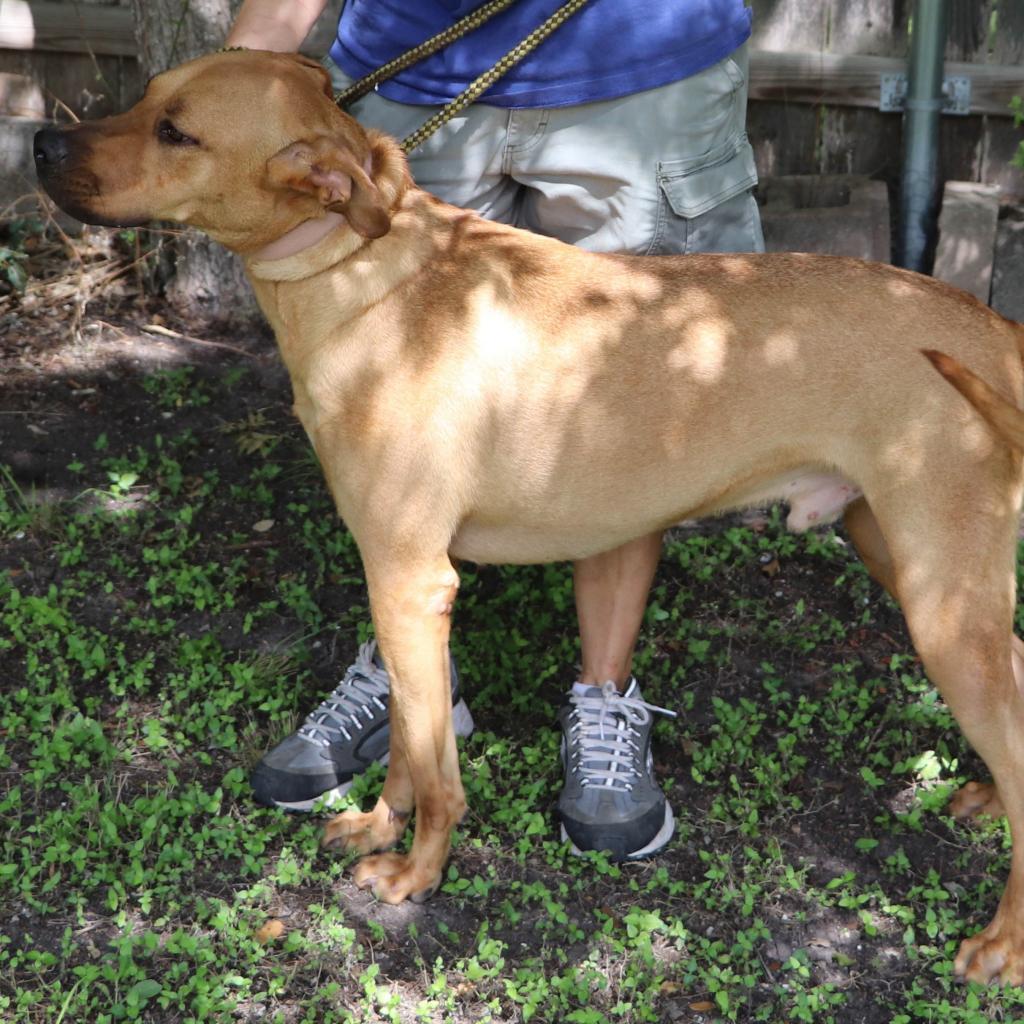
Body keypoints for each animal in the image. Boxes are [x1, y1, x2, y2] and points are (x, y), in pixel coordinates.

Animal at [34, 49, 1024, 983]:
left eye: (177, 132)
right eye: (146, 97)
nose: (41, 142)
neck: (361, 272)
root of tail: (994, 326)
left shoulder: (411, 580)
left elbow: (436, 769)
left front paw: (418, 873)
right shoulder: (397, 586)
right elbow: (406, 741)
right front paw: (378, 825)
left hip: (943, 604)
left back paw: (1001, 944)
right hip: (907, 561)